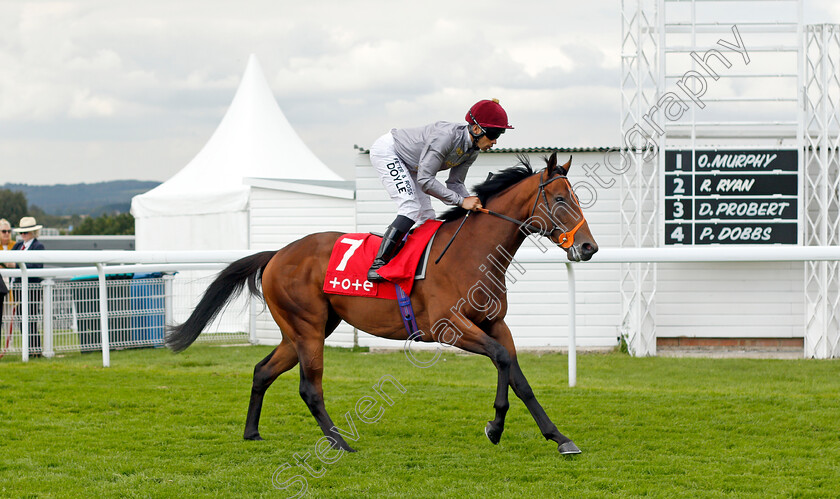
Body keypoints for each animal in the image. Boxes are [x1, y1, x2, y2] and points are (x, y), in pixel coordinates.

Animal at [166, 152, 596, 458]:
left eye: (576, 197)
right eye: (560, 199)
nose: (588, 247)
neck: (471, 254)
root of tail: (276, 255)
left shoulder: (495, 324)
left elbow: (519, 377)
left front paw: (558, 436)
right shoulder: (448, 327)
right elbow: (502, 360)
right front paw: (495, 426)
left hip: (304, 330)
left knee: (262, 370)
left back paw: (252, 432)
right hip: (307, 328)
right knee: (310, 387)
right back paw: (340, 443)